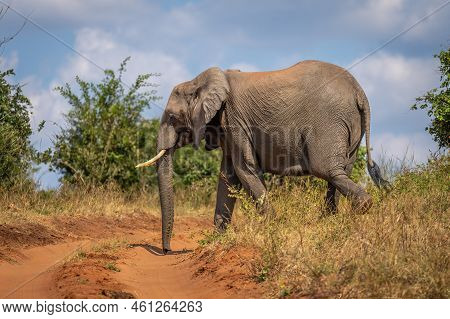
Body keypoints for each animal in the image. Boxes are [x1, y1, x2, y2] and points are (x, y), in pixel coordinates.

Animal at [136, 60, 386, 255]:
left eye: (171, 117)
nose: (167, 250)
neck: (198, 81)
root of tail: (359, 92)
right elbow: (228, 177)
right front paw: (217, 241)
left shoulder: (234, 119)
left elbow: (244, 170)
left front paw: (274, 229)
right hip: (350, 126)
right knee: (340, 172)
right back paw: (329, 220)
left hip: (329, 122)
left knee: (326, 169)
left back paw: (357, 211)